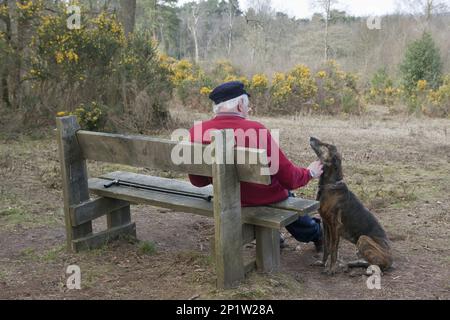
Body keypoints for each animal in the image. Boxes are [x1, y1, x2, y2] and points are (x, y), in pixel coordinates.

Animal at [310, 138, 394, 276]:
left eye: (326, 145)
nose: (311, 137)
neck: (330, 185)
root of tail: (391, 259)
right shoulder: (326, 223)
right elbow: (327, 247)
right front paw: (322, 264)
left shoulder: (335, 226)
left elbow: (333, 249)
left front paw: (331, 269)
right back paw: (352, 264)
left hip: (363, 239)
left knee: (377, 265)